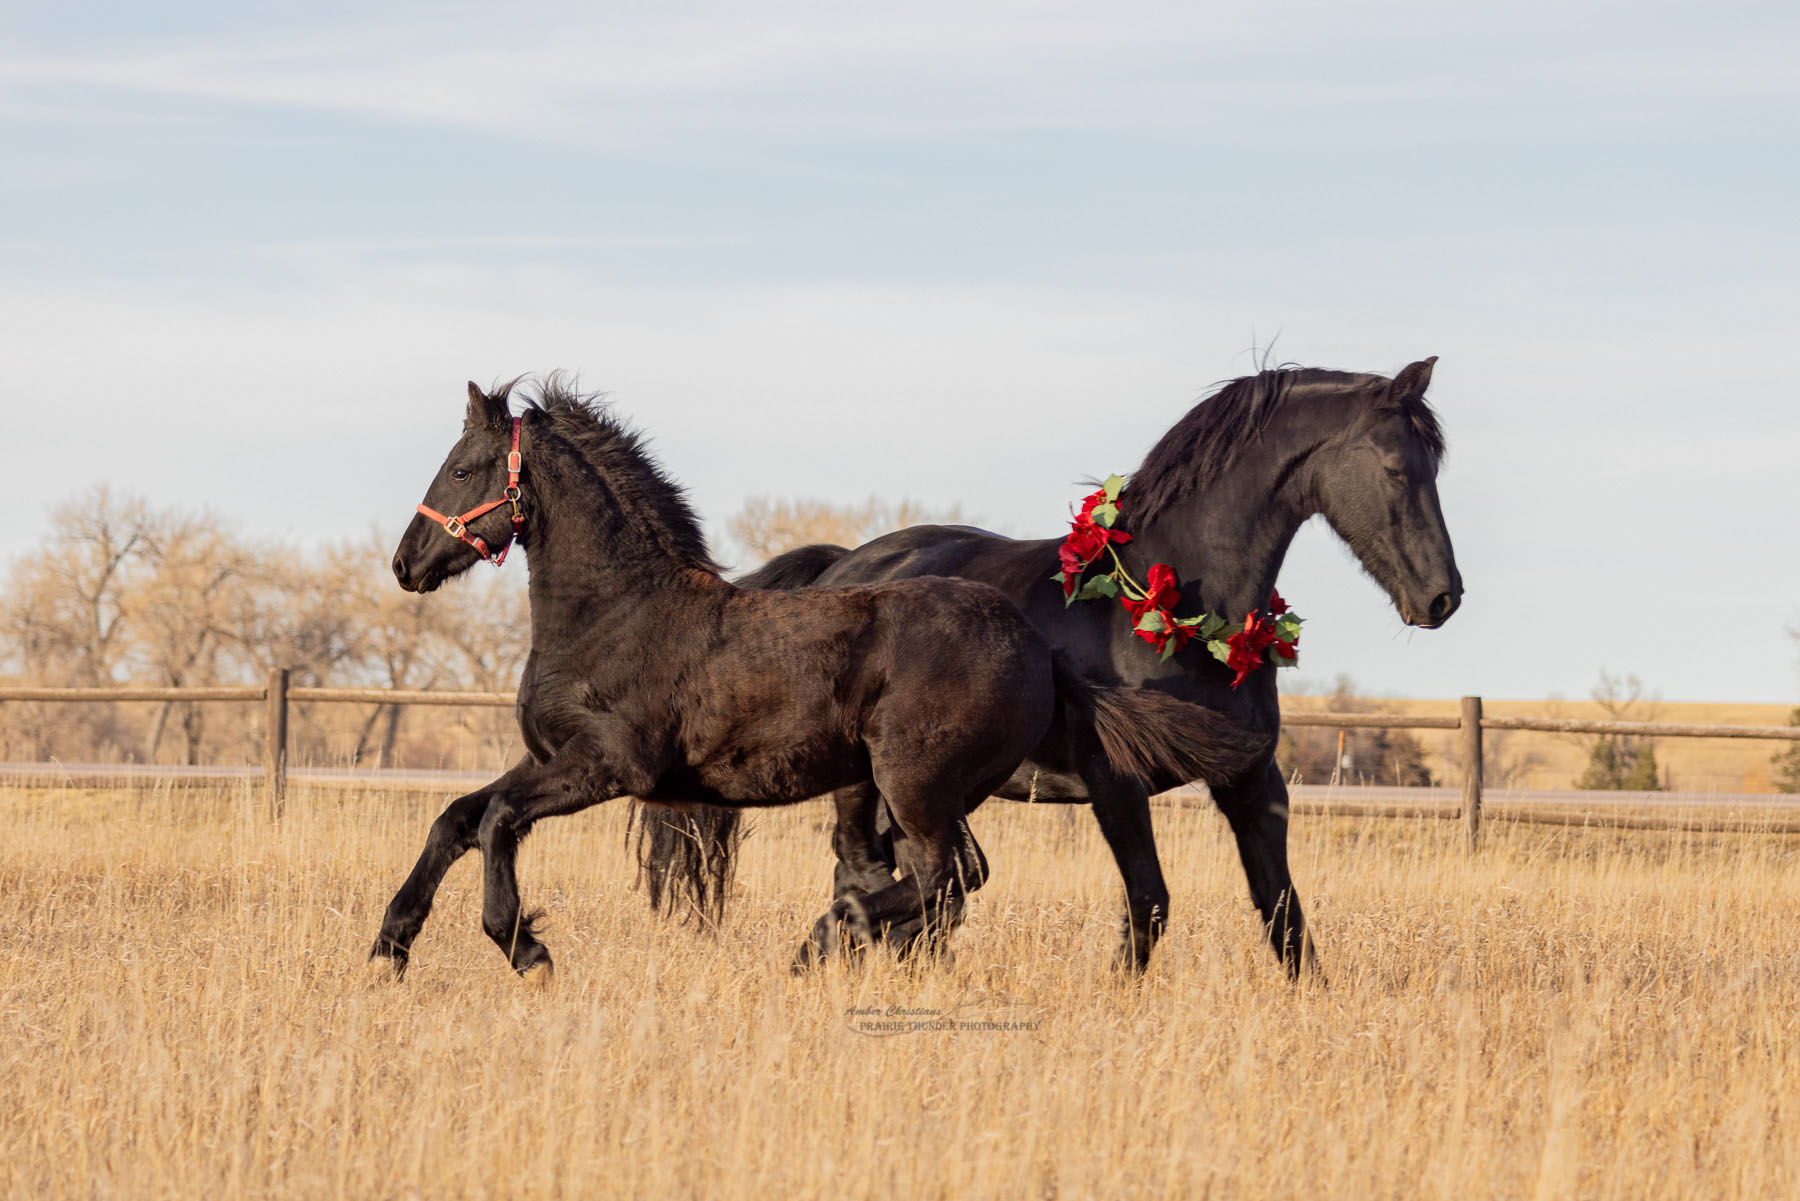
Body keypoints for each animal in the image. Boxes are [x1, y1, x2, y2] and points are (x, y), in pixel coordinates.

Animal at [370, 377, 1270, 982]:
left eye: (463, 468)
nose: (406, 564)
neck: (618, 612)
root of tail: (1035, 648)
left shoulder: (609, 767)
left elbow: (496, 823)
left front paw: (526, 946)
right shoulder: (549, 756)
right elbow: (457, 817)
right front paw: (389, 946)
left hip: (914, 783)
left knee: (947, 882)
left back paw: (824, 938)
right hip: (925, 790)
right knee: (946, 881)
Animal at [639, 359, 1462, 975]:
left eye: (1435, 468)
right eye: (1396, 468)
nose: (1442, 597)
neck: (1185, 612)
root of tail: (843, 565)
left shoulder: (1252, 780)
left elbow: (1284, 916)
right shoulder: (1117, 783)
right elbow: (1149, 905)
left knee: (910, 883)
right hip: (875, 782)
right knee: (874, 873)